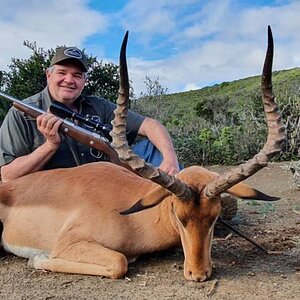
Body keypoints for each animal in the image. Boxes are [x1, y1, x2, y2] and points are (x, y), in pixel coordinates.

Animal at [0, 26, 286, 282]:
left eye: (214, 216)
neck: (132, 216)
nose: (198, 274)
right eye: (177, 214)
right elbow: (120, 262)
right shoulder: (69, 244)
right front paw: (38, 259)